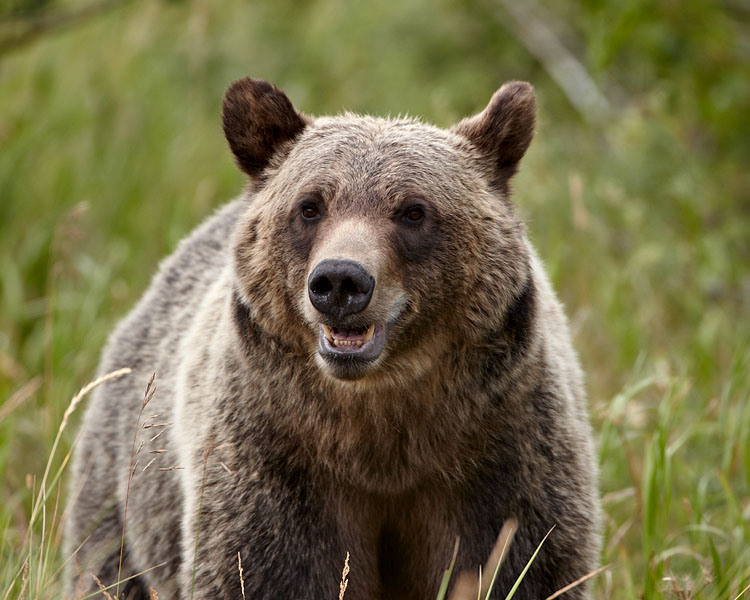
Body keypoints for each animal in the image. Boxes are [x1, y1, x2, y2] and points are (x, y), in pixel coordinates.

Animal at [64, 77, 601, 600]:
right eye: (309, 207)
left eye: (413, 211)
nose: (340, 281)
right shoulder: (278, 461)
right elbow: (265, 572)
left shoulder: (500, 456)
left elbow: (519, 566)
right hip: (123, 476)